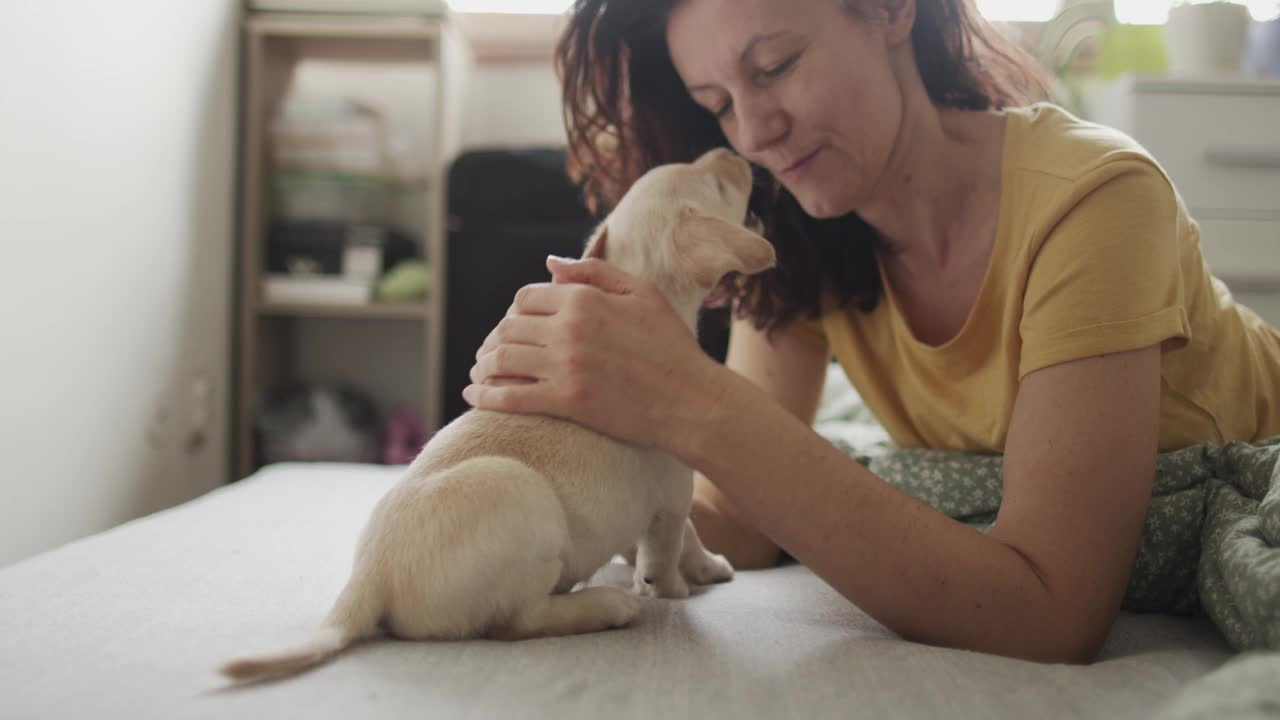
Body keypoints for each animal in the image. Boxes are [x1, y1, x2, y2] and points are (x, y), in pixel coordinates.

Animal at [218, 146, 773, 676]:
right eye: (718, 184)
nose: (731, 151)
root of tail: (369, 579)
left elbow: (673, 540)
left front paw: (701, 567)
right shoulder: (674, 494)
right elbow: (673, 544)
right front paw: (677, 585)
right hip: (522, 498)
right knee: (516, 623)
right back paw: (605, 605)